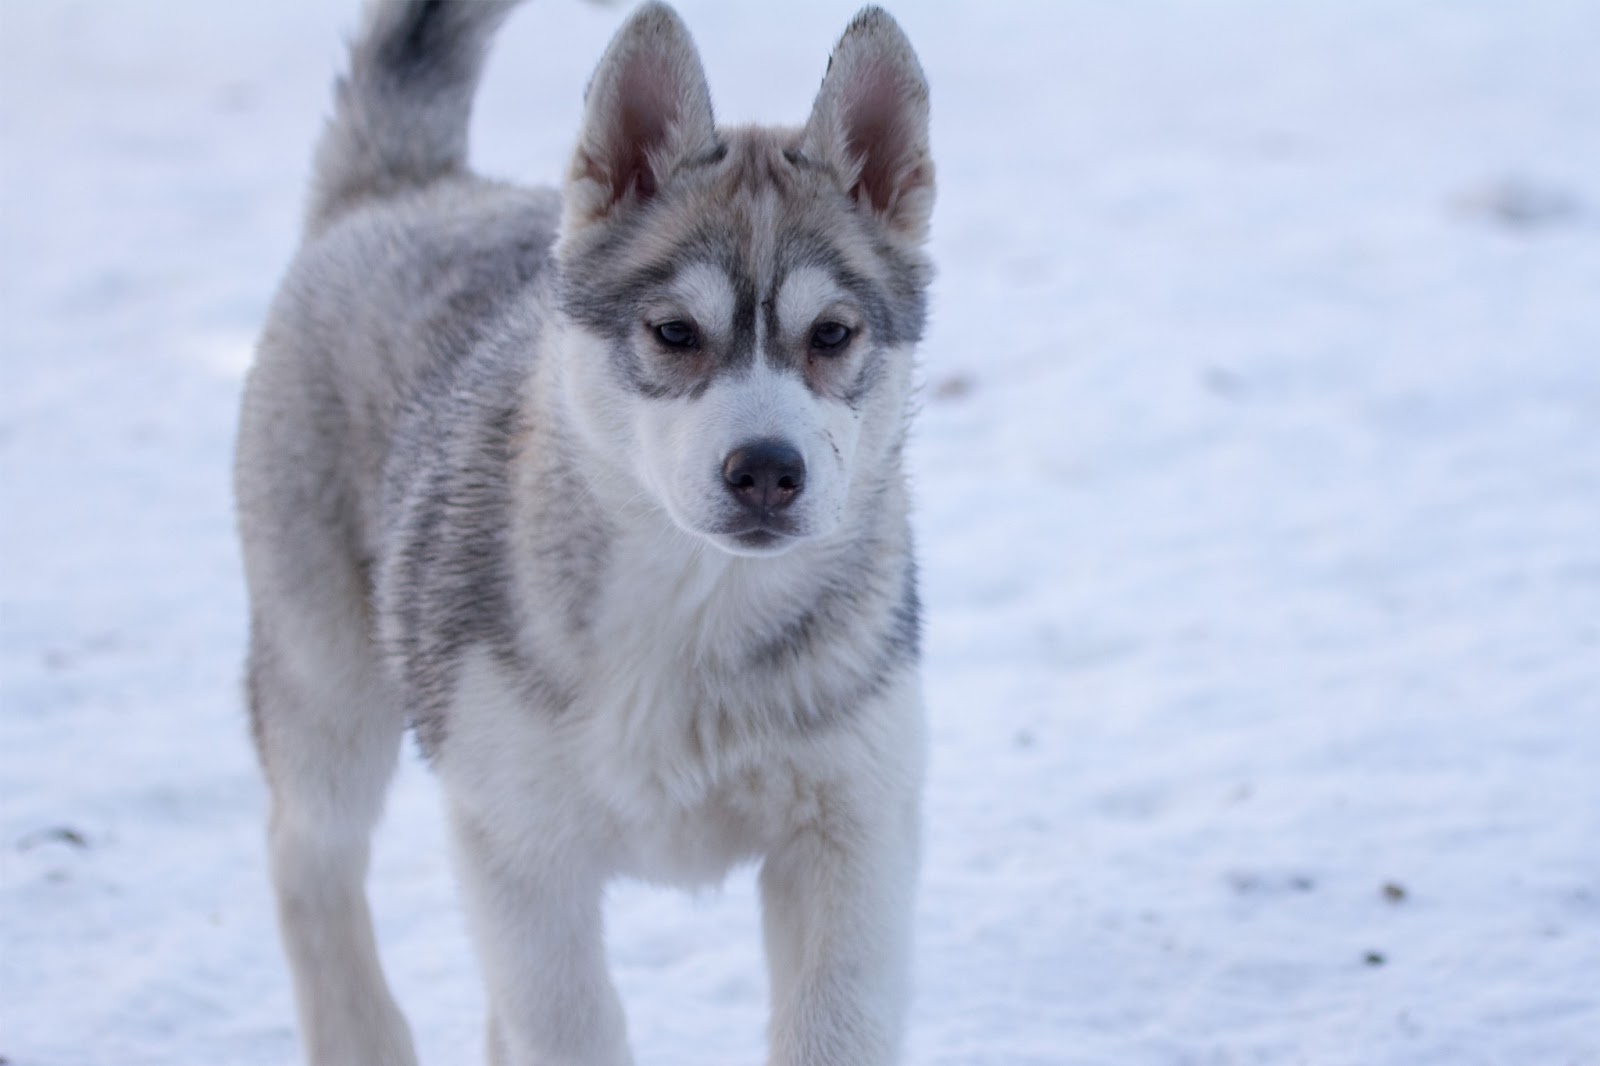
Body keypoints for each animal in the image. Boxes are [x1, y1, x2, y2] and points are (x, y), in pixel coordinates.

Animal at [233, 4, 934, 1056]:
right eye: (675, 332)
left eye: (833, 335)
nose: (767, 470)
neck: (695, 616)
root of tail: (410, 186)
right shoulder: (523, 849)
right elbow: (570, 1027)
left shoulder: (853, 833)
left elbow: (834, 1028)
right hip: (327, 686)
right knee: (305, 858)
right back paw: (360, 1037)